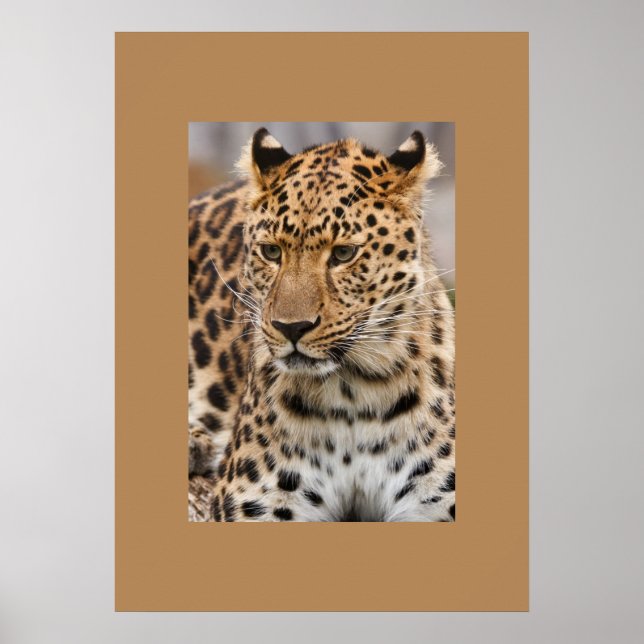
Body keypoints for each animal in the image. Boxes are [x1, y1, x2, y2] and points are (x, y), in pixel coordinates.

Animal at [188, 127, 455, 522]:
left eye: (344, 254)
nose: (291, 328)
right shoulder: (257, 503)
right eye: (271, 251)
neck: (352, 397)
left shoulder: (434, 503)